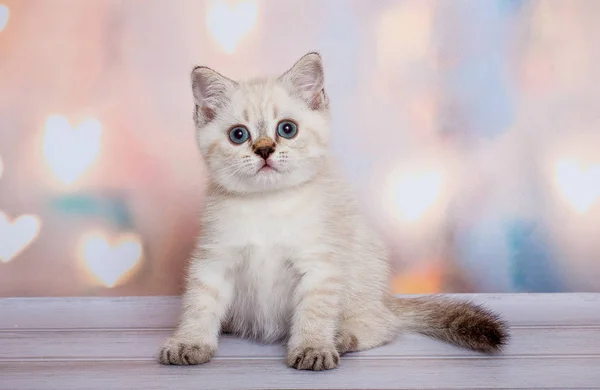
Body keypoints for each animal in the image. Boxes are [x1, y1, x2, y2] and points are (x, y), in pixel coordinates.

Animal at [158, 52, 506, 372]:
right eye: (238, 135)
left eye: (287, 129)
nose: (265, 150)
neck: (268, 203)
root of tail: (386, 299)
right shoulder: (214, 260)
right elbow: (199, 305)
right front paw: (189, 343)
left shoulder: (319, 265)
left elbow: (314, 312)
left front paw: (312, 347)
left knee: (382, 325)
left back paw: (340, 337)